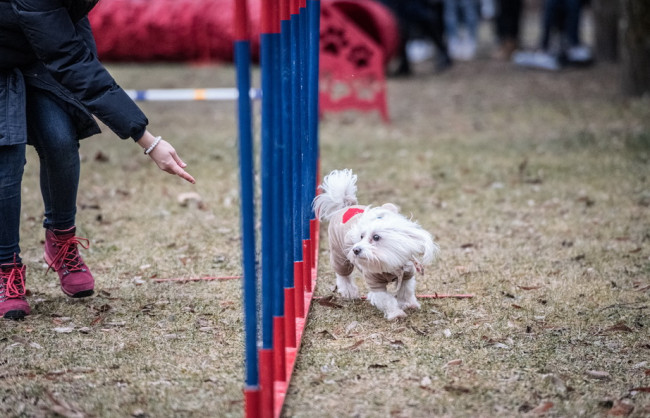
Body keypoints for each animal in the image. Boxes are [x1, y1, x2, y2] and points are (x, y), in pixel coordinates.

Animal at [312, 170, 438, 320]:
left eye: (376, 237)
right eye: (361, 236)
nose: (355, 250)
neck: (390, 265)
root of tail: (347, 205)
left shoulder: (407, 274)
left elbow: (405, 291)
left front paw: (409, 305)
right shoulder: (374, 281)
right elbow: (386, 299)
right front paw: (396, 314)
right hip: (339, 254)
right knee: (343, 275)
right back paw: (349, 292)